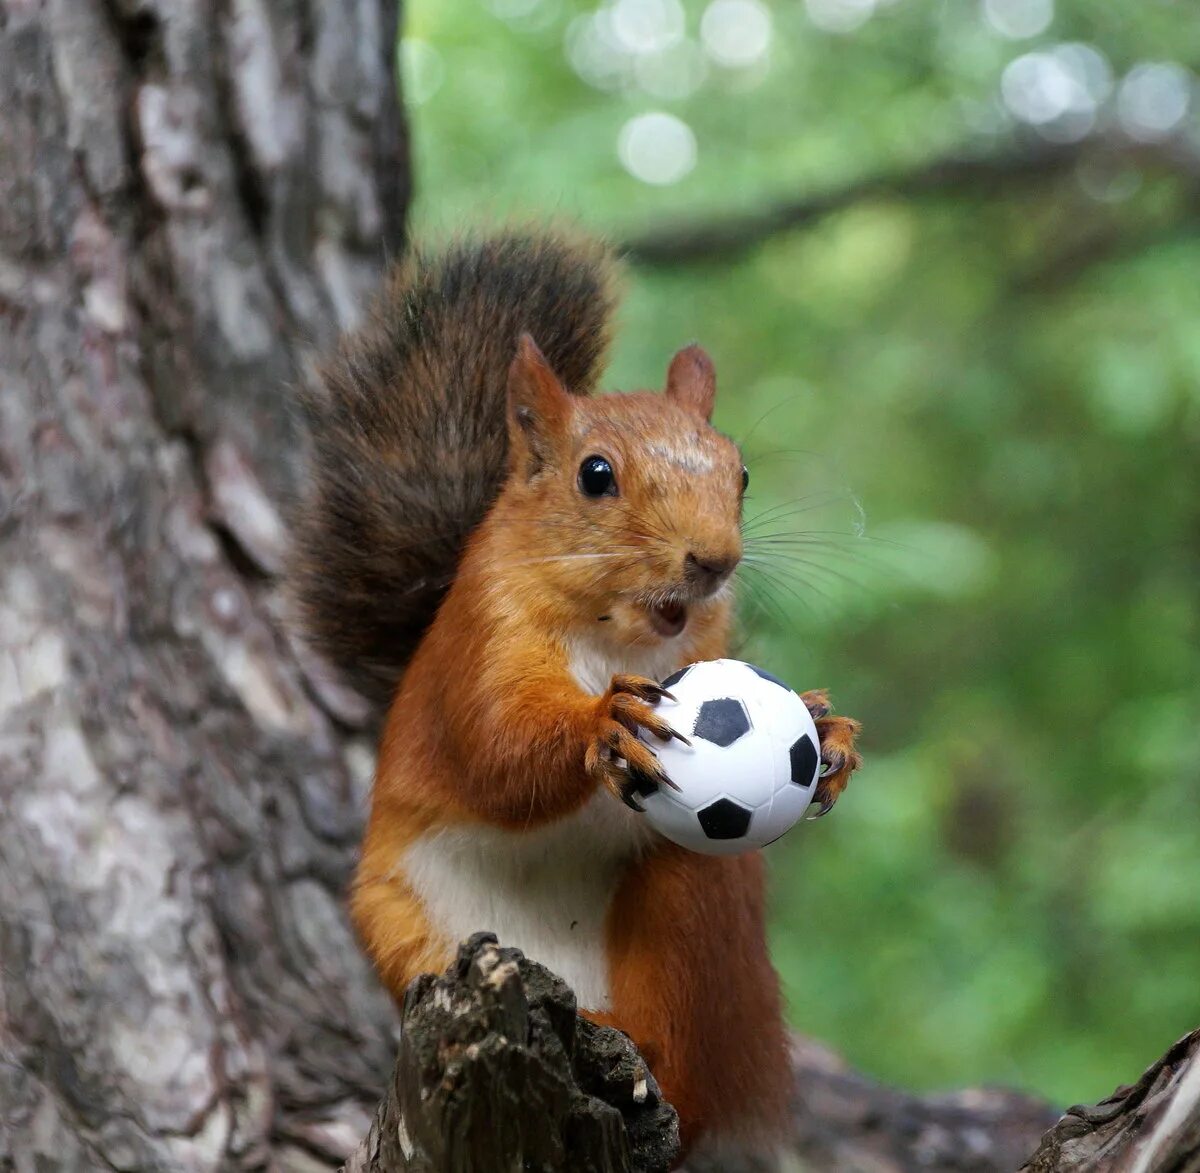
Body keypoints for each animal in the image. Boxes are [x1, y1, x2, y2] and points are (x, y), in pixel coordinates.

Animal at [296, 229, 868, 1161]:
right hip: (412, 927)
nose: (713, 559)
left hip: (692, 898)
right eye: (595, 474)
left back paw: (642, 1063)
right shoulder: (479, 646)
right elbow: (497, 747)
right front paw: (606, 720)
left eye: (741, 472)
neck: (618, 637)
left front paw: (829, 726)